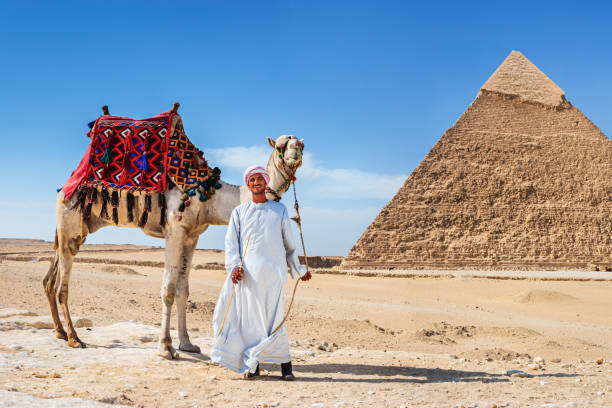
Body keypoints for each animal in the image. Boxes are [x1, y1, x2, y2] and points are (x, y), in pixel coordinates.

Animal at [43, 115, 306, 360]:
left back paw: (60, 332)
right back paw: (74, 338)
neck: (209, 195)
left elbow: (183, 290)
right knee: (61, 285)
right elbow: (168, 290)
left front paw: (187, 344)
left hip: (78, 230)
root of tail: (64, 188)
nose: (295, 151)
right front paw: (166, 348)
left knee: (50, 278)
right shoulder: (175, 231)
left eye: (301, 144)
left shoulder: (191, 237)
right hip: (69, 220)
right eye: (280, 146)